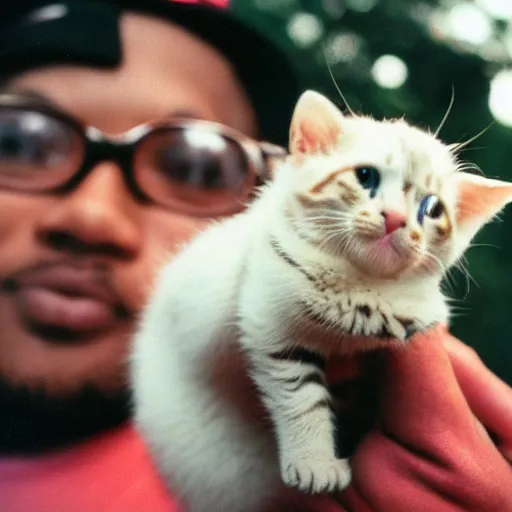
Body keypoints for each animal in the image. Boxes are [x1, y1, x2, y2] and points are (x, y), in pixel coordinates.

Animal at [130, 91, 512, 512]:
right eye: (366, 176)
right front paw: (314, 463)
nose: (396, 219)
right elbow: (301, 398)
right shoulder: (270, 316)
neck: (361, 285)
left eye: (433, 208)